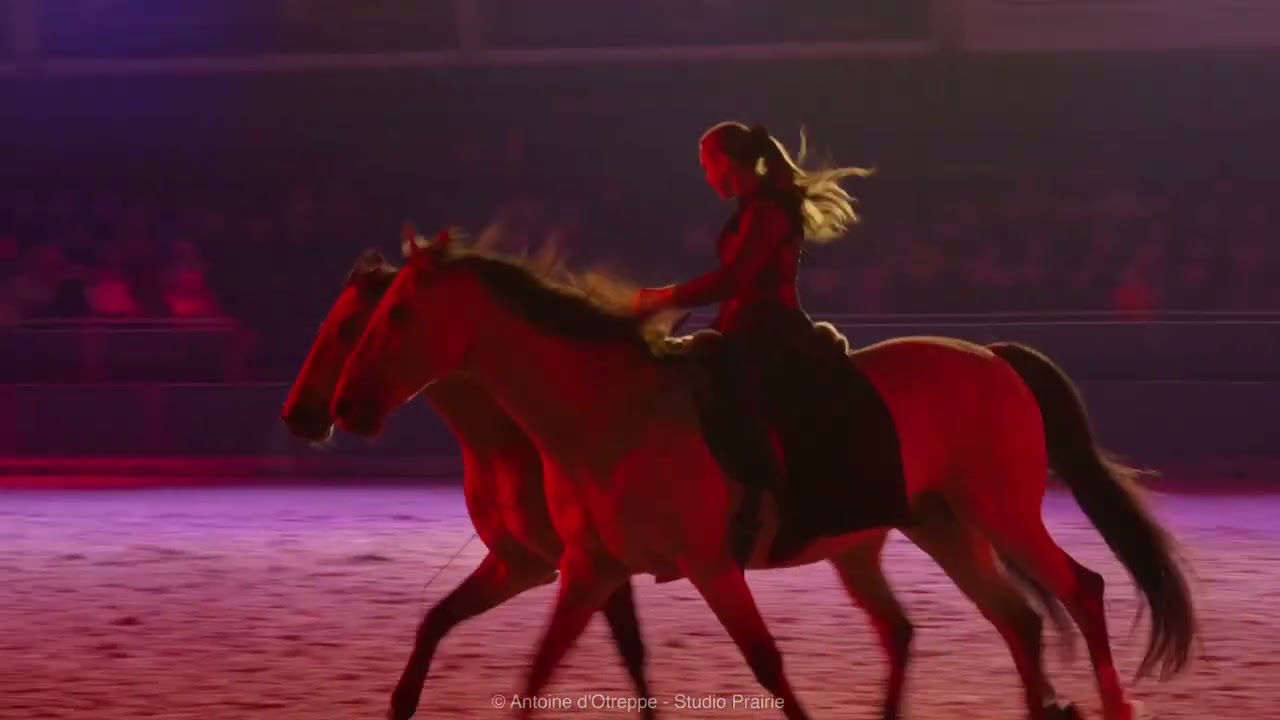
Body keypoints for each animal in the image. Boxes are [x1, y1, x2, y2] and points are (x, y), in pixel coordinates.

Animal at [280, 250, 657, 720]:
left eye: (350, 327)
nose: (296, 414)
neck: (514, 442)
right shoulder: (521, 564)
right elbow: (435, 622)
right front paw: (401, 701)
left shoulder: (599, 568)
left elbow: (631, 654)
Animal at [333, 228, 1196, 720]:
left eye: (397, 314)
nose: (345, 407)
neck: (608, 414)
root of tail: (992, 356)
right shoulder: (588, 570)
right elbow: (540, 668)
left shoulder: (710, 564)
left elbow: (767, 663)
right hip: (943, 526)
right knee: (1016, 619)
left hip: (1003, 512)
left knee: (1081, 587)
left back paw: (1113, 703)